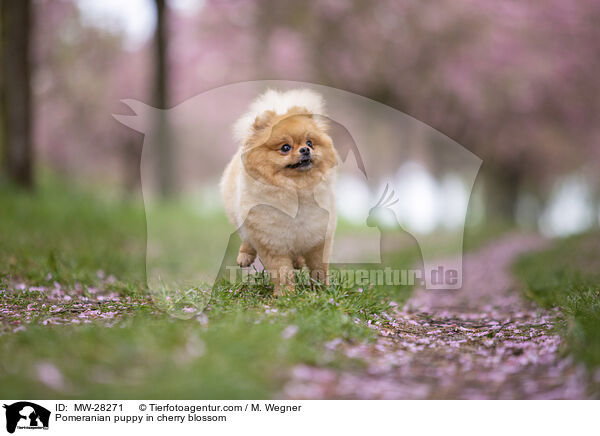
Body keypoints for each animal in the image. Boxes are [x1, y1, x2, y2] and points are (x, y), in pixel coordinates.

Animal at [223, 88, 340, 294]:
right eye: (285, 147)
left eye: (310, 142)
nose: (305, 150)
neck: (297, 191)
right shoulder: (271, 241)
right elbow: (282, 272)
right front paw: (286, 294)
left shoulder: (319, 237)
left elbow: (319, 267)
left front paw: (321, 290)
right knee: (246, 237)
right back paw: (245, 256)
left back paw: (298, 262)